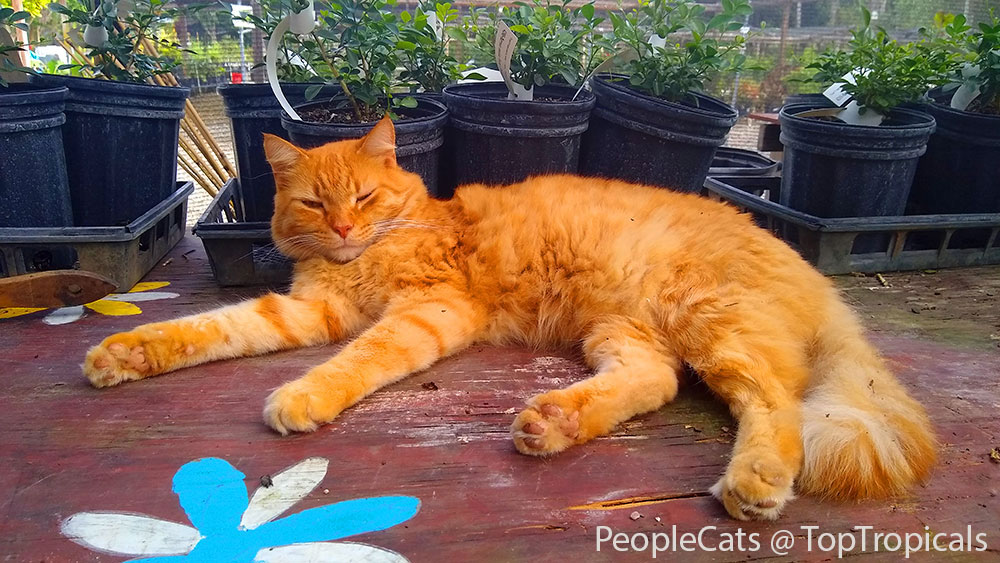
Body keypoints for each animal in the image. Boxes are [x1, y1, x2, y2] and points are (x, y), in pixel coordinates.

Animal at [82, 117, 932, 524]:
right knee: (655, 383)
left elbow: (355, 359)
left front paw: (304, 395)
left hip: (706, 322)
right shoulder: (305, 309)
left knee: (774, 401)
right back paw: (554, 420)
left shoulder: (428, 310)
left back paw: (754, 478)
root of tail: (800, 260)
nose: (346, 229)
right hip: (624, 332)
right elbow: (214, 327)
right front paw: (124, 351)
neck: (366, 254)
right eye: (317, 204)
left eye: (363, 197)